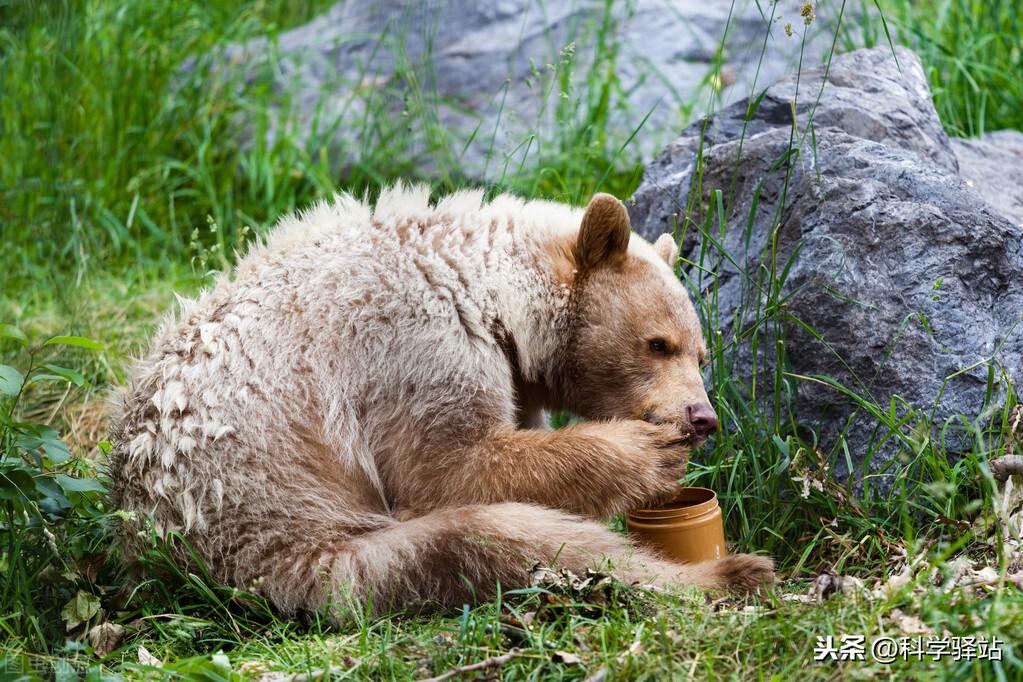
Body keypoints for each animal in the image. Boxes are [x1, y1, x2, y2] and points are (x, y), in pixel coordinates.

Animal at [107, 187, 769, 617]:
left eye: (702, 354)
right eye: (658, 343)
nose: (701, 417)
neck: (486, 288)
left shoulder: (509, 377)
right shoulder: (414, 344)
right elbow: (451, 467)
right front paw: (647, 452)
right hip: (297, 537)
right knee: (501, 541)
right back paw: (727, 575)